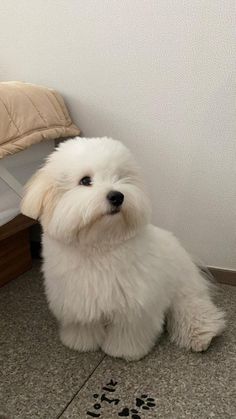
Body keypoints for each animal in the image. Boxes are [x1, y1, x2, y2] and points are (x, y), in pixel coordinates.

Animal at [20, 138, 225, 360]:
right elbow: (84, 326)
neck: (100, 246)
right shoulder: (78, 300)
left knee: (194, 309)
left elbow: (128, 333)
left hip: (184, 289)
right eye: (85, 180)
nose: (117, 196)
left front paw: (124, 350)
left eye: (120, 178)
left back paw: (200, 336)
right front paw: (80, 343)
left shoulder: (135, 306)